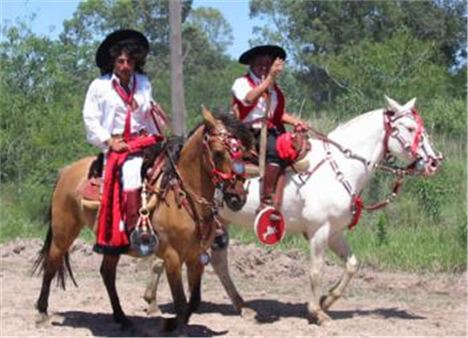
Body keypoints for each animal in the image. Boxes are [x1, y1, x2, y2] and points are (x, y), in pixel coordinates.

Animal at [33, 107, 252, 332]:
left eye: (244, 152)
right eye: (218, 153)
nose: (237, 198)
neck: (183, 196)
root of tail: (66, 171)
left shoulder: (196, 256)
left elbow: (194, 300)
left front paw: (170, 323)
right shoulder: (172, 257)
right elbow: (180, 302)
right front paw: (176, 327)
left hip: (111, 242)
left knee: (107, 274)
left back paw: (122, 318)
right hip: (64, 231)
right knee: (51, 264)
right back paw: (42, 313)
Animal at [143, 95, 442, 324]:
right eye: (410, 129)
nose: (434, 162)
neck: (341, 167)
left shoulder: (334, 233)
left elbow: (352, 265)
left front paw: (328, 300)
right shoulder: (320, 231)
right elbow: (316, 270)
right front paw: (317, 312)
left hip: (218, 223)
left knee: (216, 262)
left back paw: (240, 307)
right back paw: (154, 303)